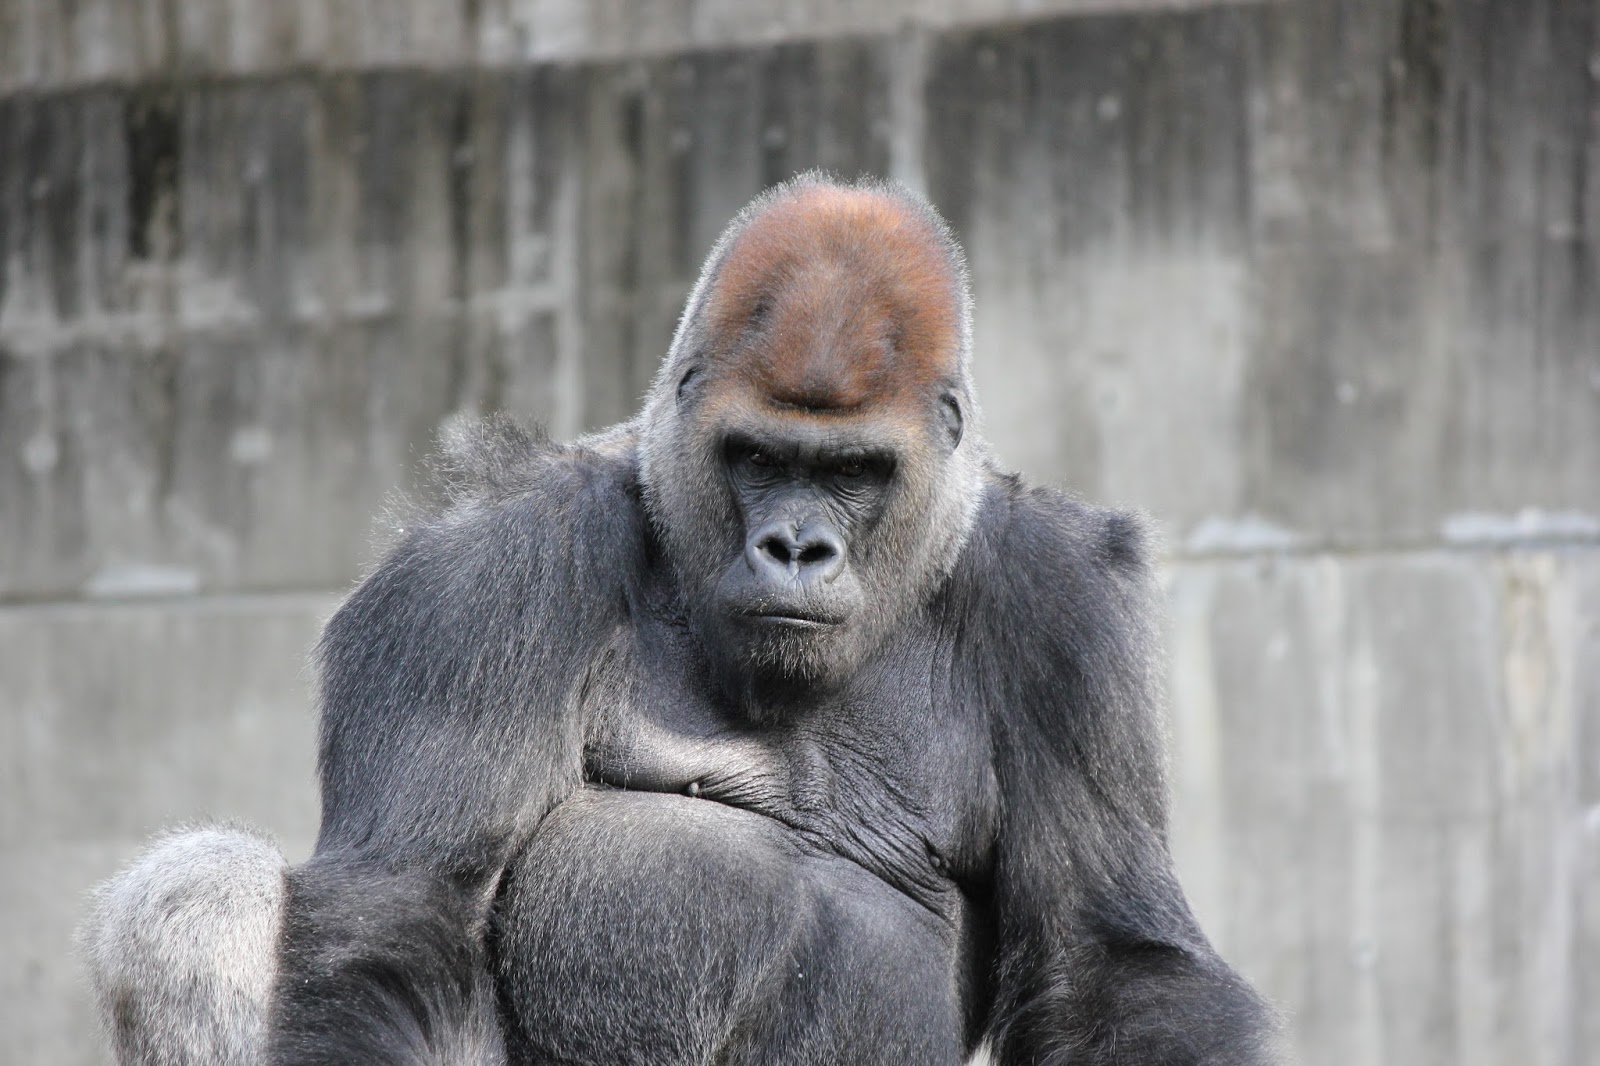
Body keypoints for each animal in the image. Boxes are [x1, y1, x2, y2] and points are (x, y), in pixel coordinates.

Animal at [81, 174, 1280, 1062]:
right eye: (757, 457)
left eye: (852, 471)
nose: (794, 548)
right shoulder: (487, 566)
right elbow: (399, 916)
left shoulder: (1066, 613)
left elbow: (1112, 967)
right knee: (202, 890)